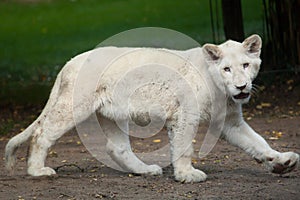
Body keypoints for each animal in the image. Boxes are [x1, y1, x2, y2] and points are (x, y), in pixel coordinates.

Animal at [4, 35, 298, 182]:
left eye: (246, 65)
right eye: (226, 69)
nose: (240, 86)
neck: (223, 93)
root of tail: (69, 62)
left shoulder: (229, 122)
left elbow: (257, 142)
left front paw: (282, 162)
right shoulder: (184, 115)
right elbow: (183, 147)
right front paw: (187, 175)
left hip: (112, 115)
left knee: (117, 148)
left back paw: (145, 170)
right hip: (74, 106)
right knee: (42, 133)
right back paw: (37, 171)